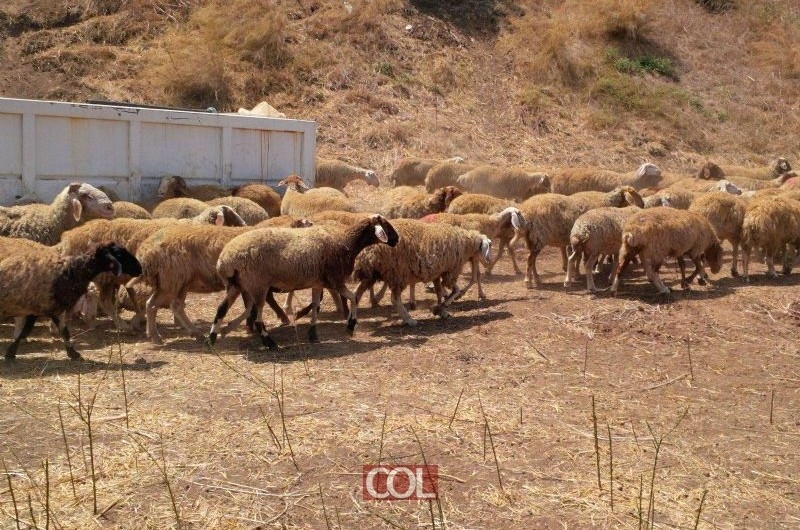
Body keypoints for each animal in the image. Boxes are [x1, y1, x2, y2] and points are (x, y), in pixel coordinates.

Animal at [0, 240, 141, 360]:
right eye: (118, 253)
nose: (139, 268)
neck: (74, 271)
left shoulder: (44, 309)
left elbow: (57, 331)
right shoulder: (51, 307)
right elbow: (59, 332)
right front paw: (74, 354)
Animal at [206, 214, 400, 346]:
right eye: (385, 225)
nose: (397, 239)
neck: (346, 243)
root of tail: (226, 259)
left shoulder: (318, 283)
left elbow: (316, 306)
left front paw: (313, 334)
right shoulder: (335, 280)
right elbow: (354, 298)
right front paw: (351, 326)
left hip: (236, 285)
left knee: (221, 308)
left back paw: (212, 338)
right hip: (257, 284)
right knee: (257, 317)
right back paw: (269, 343)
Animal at [354, 219, 490, 326]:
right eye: (489, 246)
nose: (489, 260)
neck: (466, 243)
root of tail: (367, 251)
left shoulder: (437, 272)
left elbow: (439, 291)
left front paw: (441, 310)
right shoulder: (450, 271)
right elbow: (455, 291)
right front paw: (440, 307)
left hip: (372, 274)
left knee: (356, 294)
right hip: (398, 271)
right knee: (394, 299)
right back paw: (409, 320)